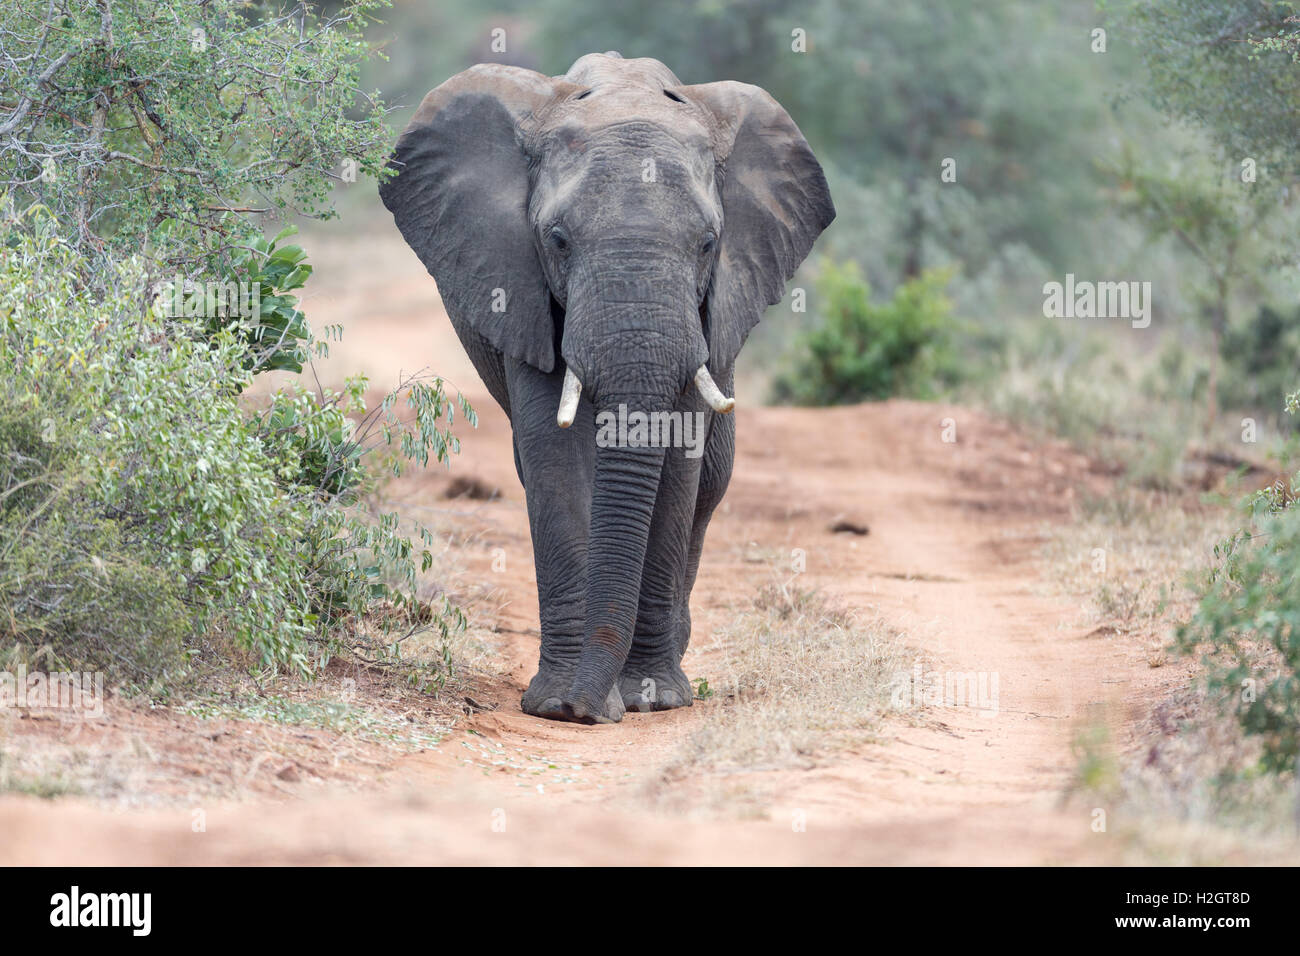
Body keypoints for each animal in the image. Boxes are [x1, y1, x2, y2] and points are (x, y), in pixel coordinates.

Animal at [379, 52, 837, 723]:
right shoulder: (521, 287)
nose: (586, 708)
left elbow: (679, 461)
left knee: (712, 483)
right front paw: (555, 704)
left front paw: (652, 698)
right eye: (558, 240)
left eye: (708, 244)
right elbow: (553, 459)